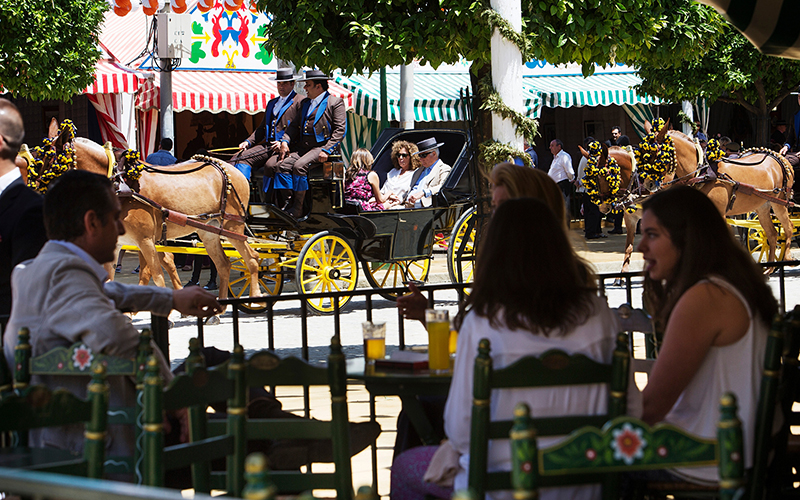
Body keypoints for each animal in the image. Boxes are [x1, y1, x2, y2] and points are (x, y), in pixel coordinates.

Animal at [23, 119, 261, 304]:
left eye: (45, 160)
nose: (27, 189)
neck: (119, 184)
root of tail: (230, 167)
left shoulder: (145, 240)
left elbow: (156, 276)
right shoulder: (118, 243)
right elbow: (111, 279)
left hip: (233, 226)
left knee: (251, 259)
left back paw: (256, 296)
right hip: (209, 230)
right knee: (223, 264)